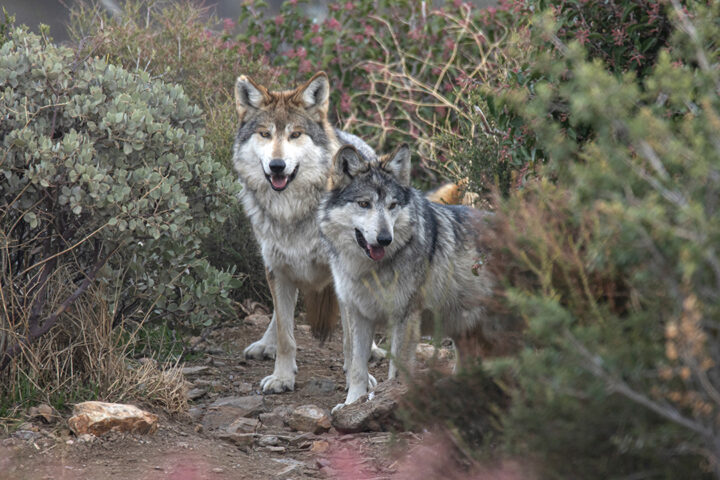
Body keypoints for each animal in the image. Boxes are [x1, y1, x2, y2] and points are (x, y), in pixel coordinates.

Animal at [232, 72, 382, 393]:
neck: (293, 211)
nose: (277, 165)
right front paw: (282, 377)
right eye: (265, 134)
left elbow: (352, 341)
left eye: (295, 134)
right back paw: (265, 344)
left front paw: (358, 381)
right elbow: (286, 335)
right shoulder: (277, 267)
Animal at [318, 144, 496, 410]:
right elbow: (357, 368)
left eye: (392, 205)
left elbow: (397, 371)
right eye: (364, 204)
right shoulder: (359, 314)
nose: (384, 239)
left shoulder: (406, 317)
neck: (368, 270)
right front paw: (353, 404)